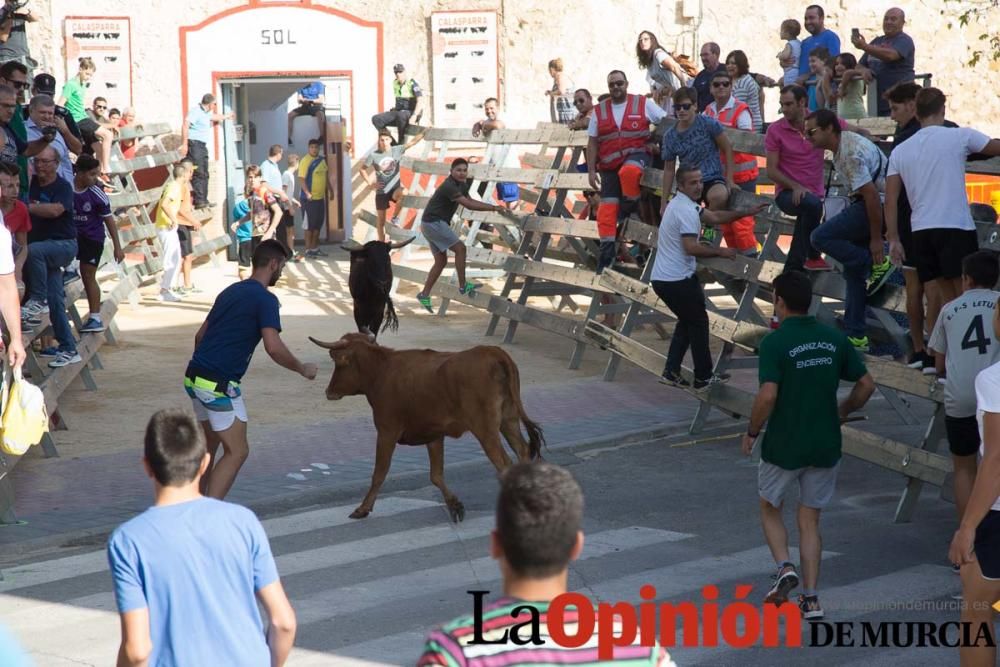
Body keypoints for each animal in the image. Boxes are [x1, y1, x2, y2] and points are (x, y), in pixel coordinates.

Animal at [312, 334, 548, 520]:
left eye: (339, 362)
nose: (328, 391)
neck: (382, 372)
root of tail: (493, 352)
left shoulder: (386, 431)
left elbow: (379, 472)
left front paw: (363, 508)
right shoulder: (434, 434)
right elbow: (436, 475)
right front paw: (454, 505)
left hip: (486, 429)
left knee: (505, 463)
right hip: (508, 420)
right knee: (522, 451)